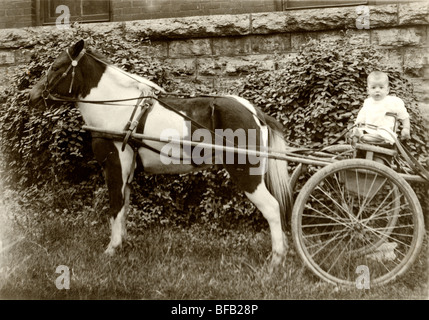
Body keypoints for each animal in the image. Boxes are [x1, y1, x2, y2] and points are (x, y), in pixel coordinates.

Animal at [28, 40, 292, 270]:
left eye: (56, 67)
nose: (32, 96)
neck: (120, 110)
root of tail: (255, 112)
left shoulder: (114, 166)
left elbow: (115, 206)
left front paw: (111, 249)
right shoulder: (128, 172)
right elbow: (124, 207)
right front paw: (122, 244)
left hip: (247, 174)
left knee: (272, 208)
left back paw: (276, 260)